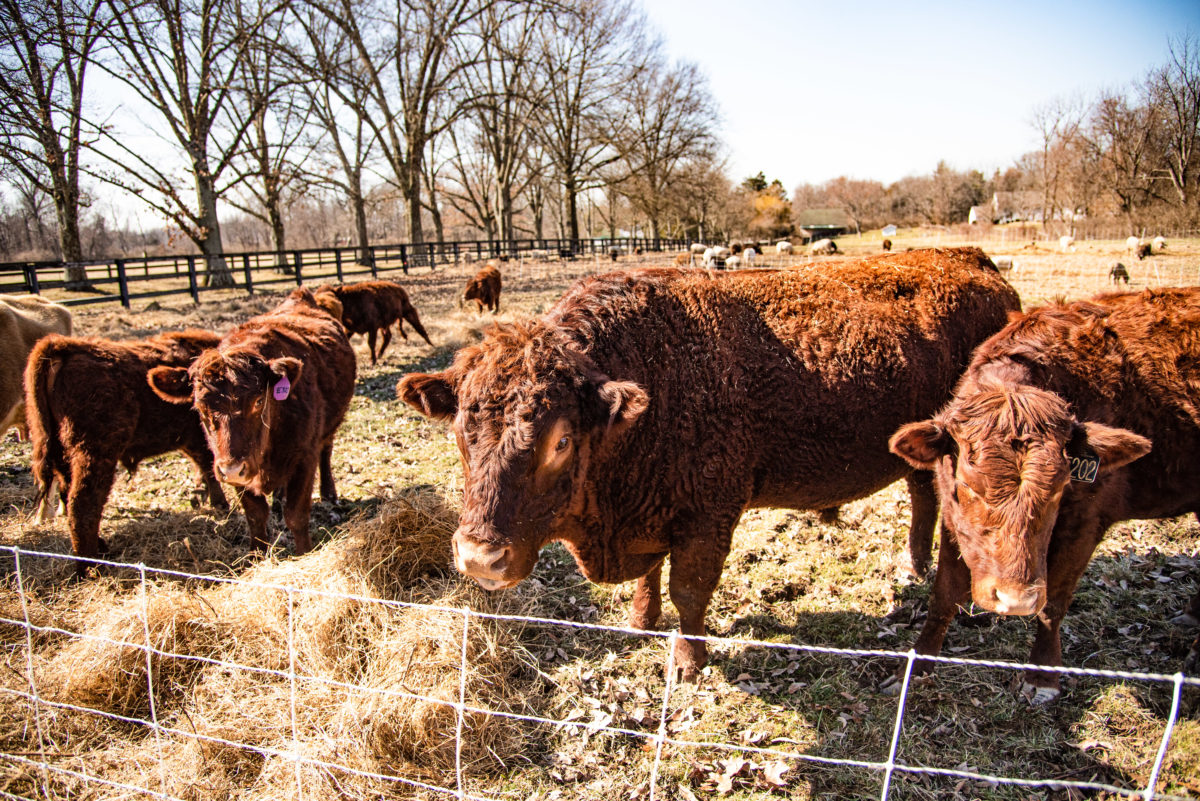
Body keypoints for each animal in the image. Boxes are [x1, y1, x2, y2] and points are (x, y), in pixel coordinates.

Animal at [27, 330, 229, 575]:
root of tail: (64, 348)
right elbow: (210, 469)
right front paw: (221, 505)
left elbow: (206, 469)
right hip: (94, 454)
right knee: (82, 504)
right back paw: (89, 567)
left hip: (62, 455)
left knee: (67, 495)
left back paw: (99, 548)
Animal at [149, 287, 355, 556]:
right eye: (200, 407)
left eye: (258, 401)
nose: (232, 469)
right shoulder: (232, 468)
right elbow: (256, 516)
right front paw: (256, 557)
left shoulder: (304, 458)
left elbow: (296, 516)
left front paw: (303, 554)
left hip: (331, 427)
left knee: (326, 452)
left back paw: (329, 493)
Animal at [883, 291, 1200, 705]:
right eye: (968, 486)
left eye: (1060, 489)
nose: (1015, 600)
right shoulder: (955, 524)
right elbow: (944, 596)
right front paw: (917, 669)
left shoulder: (1086, 523)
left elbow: (1055, 604)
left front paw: (1042, 676)